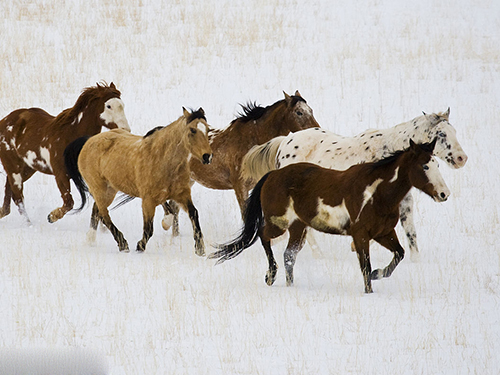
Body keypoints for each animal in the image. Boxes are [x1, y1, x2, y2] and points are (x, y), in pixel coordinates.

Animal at [0, 82, 131, 225]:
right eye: (108, 106)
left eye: (122, 105)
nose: (126, 129)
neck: (70, 135)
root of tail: (4, 121)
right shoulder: (61, 175)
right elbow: (69, 202)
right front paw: (51, 216)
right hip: (14, 168)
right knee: (18, 196)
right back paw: (28, 224)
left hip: (27, 169)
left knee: (9, 193)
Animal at [63, 107, 212, 258]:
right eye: (192, 130)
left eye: (208, 129)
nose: (207, 156)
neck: (164, 161)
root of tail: (88, 141)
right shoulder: (147, 200)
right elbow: (149, 228)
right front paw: (140, 246)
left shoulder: (182, 194)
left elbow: (193, 214)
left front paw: (200, 249)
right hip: (100, 189)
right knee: (104, 215)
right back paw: (122, 244)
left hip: (110, 190)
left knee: (97, 210)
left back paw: (91, 239)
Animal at [162, 92, 322, 235]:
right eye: (299, 112)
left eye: (311, 110)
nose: (317, 130)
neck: (253, 142)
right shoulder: (240, 186)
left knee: (175, 206)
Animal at [209, 140, 452, 296]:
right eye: (424, 165)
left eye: (437, 163)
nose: (444, 194)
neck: (376, 192)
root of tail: (272, 175)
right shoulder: (360, 235)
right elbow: (365, 267)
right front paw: (370, 288)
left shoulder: (384, 233)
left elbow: (398, 254)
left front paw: (378, 274)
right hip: (279, 223)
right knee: (263, 236)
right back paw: (271, 275)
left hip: (298, 227)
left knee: (289, 255)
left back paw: (290, 285)